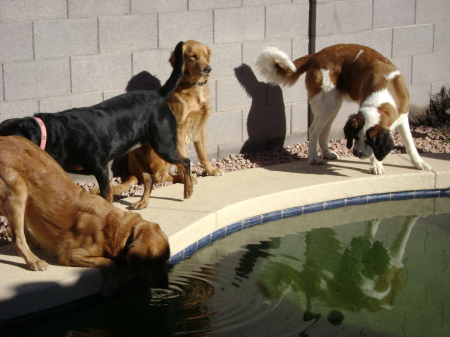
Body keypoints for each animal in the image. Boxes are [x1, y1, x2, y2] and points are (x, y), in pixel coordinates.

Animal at [0, 41, 192, 201]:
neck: (54, 135)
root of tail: (158, 94)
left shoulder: (100, 167)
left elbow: (106, 195)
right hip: (140, 151)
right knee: (148, 179)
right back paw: (142, 204)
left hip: (163, 144)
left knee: (185, 162)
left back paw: (188, 190)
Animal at [0, 135, 171, 294]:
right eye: (155, 262)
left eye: (165, 260)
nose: (166, 285)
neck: (117, 230)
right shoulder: (71, 254)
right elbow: (110, 262)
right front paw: (110, 287)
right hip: (16, 188)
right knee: (17, 237)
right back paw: (33, 261)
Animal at [255, 43, 430, 175]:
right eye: (356, 136)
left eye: (368, 140)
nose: (356, 153)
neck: (383, 97)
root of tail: (317, 54)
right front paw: (376, 165)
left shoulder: (403, 116)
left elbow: (410, 143)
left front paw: (419, 163)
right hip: (327, 103)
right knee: (314, 130)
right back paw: (314, 157)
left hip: (334, 103)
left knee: (324, 131)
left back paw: (326, 153)